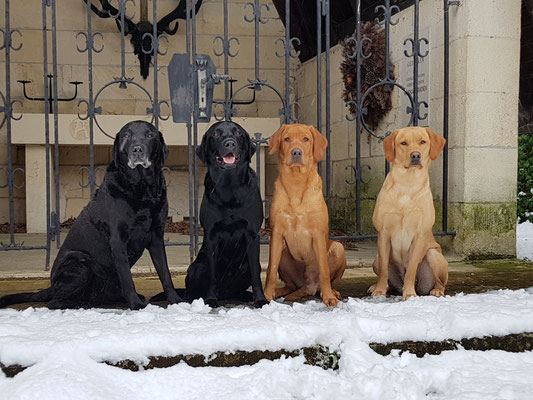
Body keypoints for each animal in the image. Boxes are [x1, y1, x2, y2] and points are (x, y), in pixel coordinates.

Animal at [0, 120, 180, 310]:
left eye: (150, 135)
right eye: (127, 135)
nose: (137, 149)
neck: (142, 188)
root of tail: (51, 287)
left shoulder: (156, 237)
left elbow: (165, 273)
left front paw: (176, 300)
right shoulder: (118, 239)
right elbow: (127, 277)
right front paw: (136, 305)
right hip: (79, 261)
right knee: (54, 302)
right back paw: (82, 304)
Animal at [152, 120, 268, 308]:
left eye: (238, 133)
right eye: (216, 134)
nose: (230, 143)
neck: (230, 186)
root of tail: (226, 293)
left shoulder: (252, 233)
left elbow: (256, 275)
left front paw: (261, 299)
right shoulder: (211, 235)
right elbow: (213, 275)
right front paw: (210, 299)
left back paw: (246, 295)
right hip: (198, 266)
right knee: (192, 288)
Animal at [370, 126, 448, 298]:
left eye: (423, 142)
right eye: (403, 143)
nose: (415, 155)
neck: (407, 184)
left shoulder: (419, 235)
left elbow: (411, 269)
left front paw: (410, 293)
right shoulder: (383, 233)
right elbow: (384, 270)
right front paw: (379, 290)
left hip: (434, 255)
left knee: (441, 282)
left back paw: (436, 290)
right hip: (376, 259)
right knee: (386, 276)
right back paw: (378, 286)